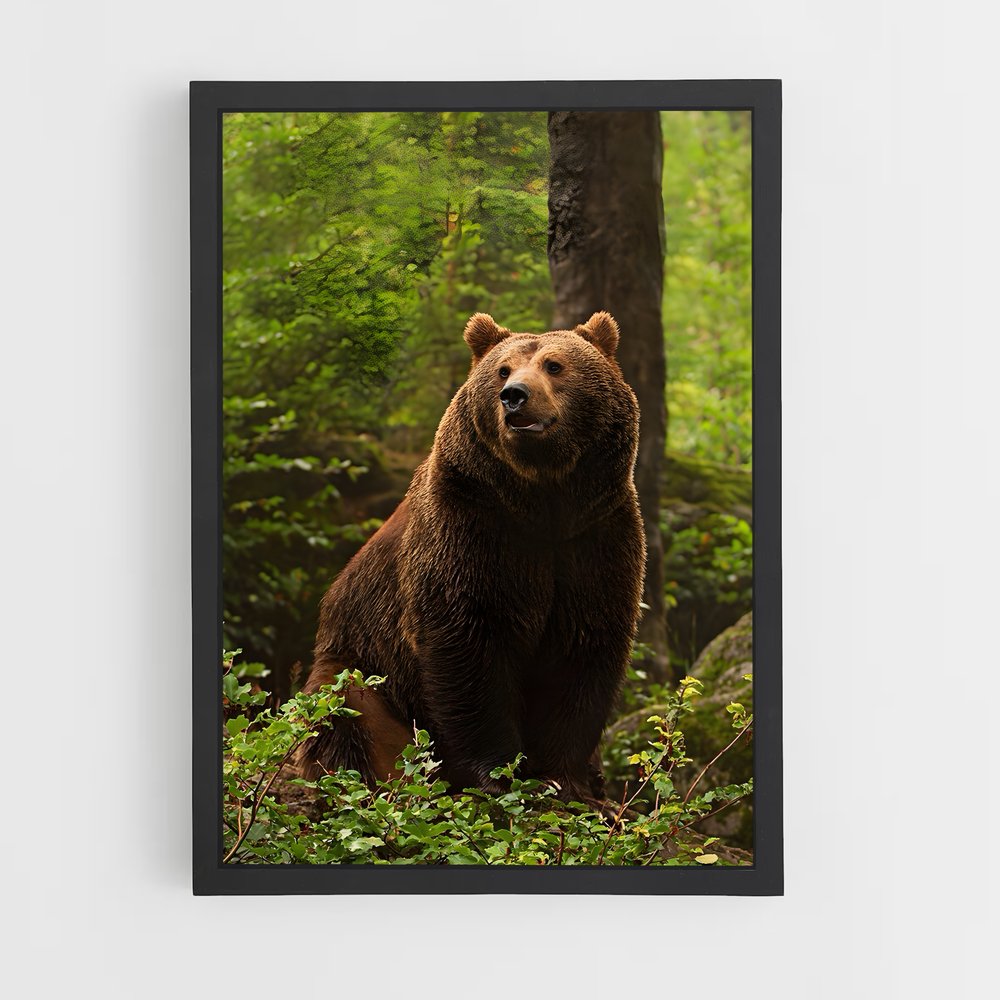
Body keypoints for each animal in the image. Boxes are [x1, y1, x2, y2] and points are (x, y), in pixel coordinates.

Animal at [296, 310, 645, 805]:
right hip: (364, 665)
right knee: (347, 711)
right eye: (502, 369)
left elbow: (583, 646)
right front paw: (499, 773)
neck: (544, 499)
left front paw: (568, 780)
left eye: (554, 365)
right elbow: (467, 640)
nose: (514, 396)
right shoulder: (471, 525)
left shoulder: (596, 534)